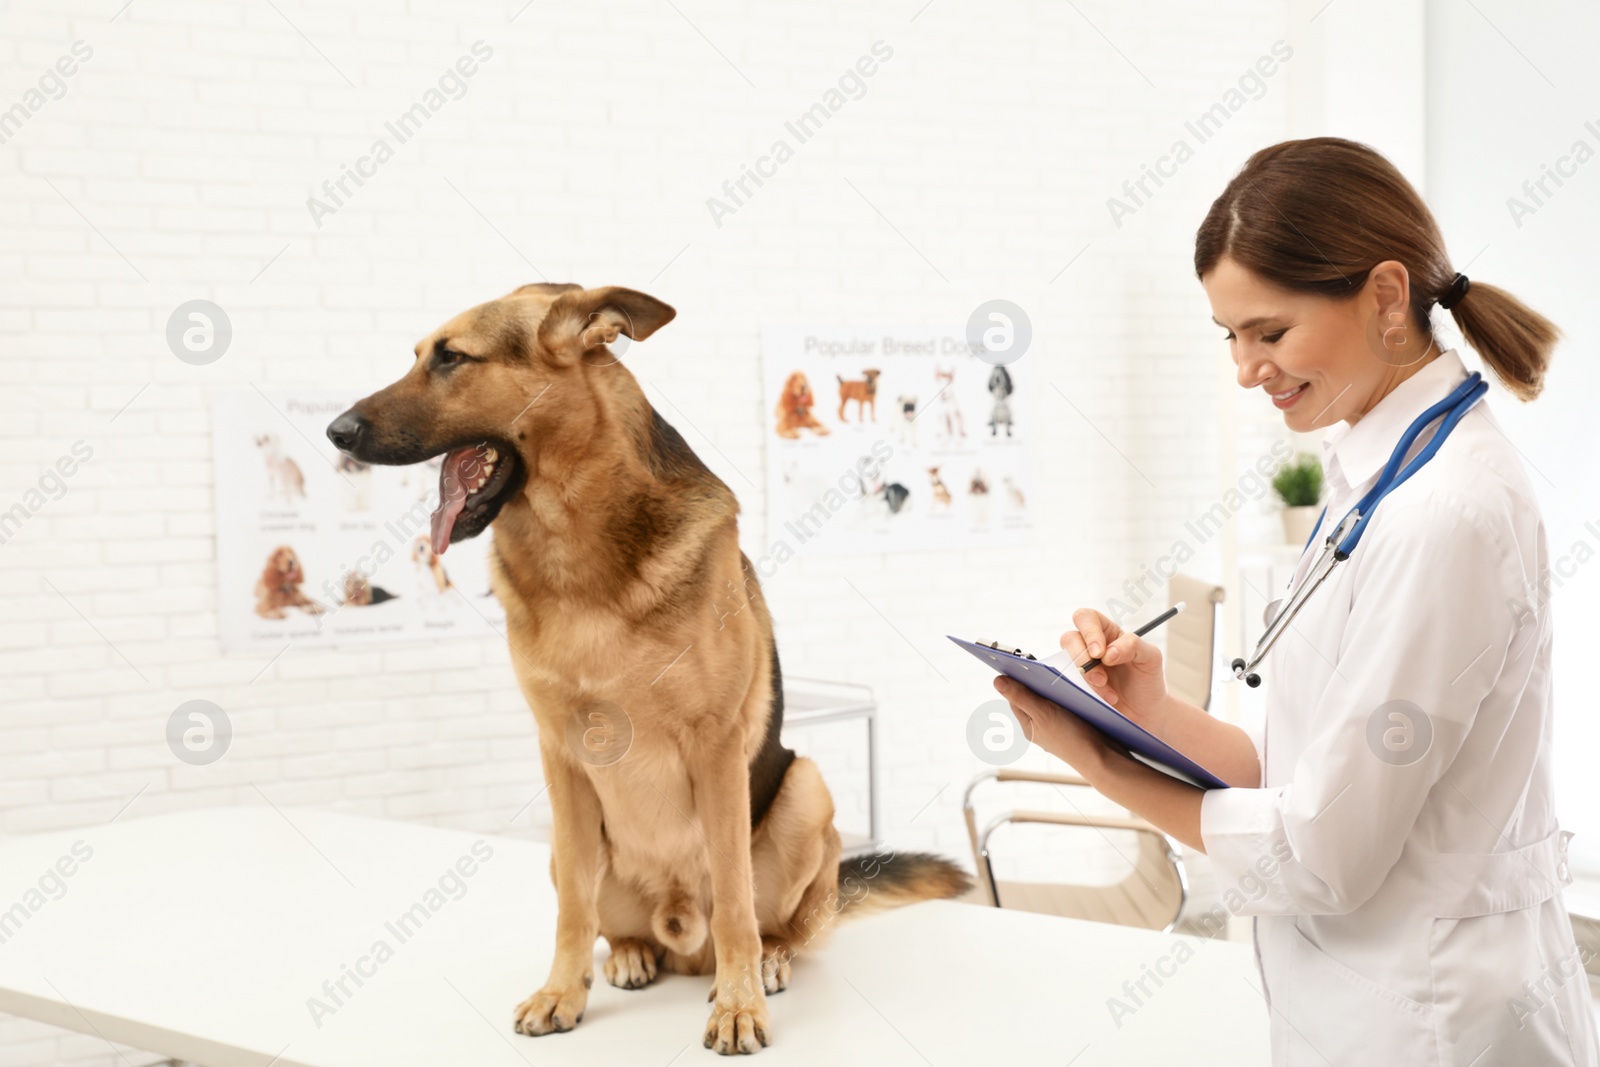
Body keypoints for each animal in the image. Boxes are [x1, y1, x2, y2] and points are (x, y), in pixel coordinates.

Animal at [328, 286, 960, 1062]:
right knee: (614, 920)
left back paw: (765, 962)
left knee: (776, 922)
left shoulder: (716, 748)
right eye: (419, 354)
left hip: (807, 788)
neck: (574, 546)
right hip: (566, 841)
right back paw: (631, 953)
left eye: (451, 357)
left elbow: (737, 901)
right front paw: (562, 993)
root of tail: (680, 933)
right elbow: (573, 907)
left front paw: (740, 1003)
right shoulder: (559, 758)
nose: (335, 431)